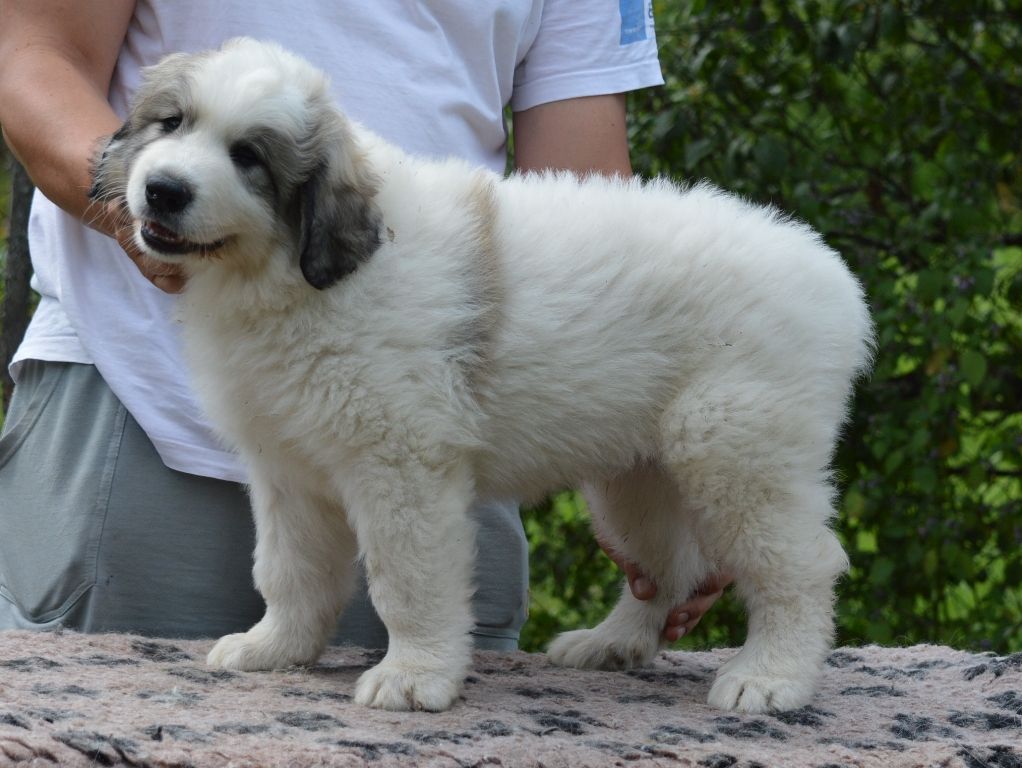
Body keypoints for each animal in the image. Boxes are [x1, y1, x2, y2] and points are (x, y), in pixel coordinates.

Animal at [90, 38, 873, 713]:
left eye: (248, 156)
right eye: (171, 123)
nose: (163, 191)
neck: (291, 274)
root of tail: (832, 278)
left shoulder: (401, 463)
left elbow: (407, 579)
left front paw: (412, 677)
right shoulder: (288, 469)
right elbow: (289, 570)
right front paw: (275, 648)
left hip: (735, 450)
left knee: (800, 565)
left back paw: (771, 676)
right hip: (638, 473)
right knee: (667, 565)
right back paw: (612, 643)